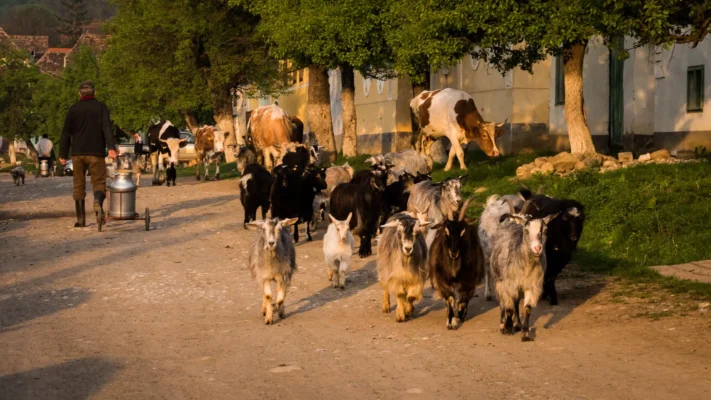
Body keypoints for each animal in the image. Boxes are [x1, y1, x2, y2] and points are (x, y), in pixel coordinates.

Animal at [429, 197, 484, 330]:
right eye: (446, 230)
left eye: (463, 231)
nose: (453, 252)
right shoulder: (442, 280)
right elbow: (450, 299)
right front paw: (450, 322)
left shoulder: (469, 280)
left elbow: (463, 300)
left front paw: (460, 315)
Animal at [490, 200, 558, 341]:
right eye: (526, 231)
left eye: (545, 230)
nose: (537, 248)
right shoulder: (509, 285)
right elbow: (509, 308)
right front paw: (507, 328)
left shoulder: (531, 286)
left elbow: (527, 309)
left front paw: (525, 333)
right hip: (498, 280)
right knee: (503, 303)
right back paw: (503, 324)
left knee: (515, 303)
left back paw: (517, 324)